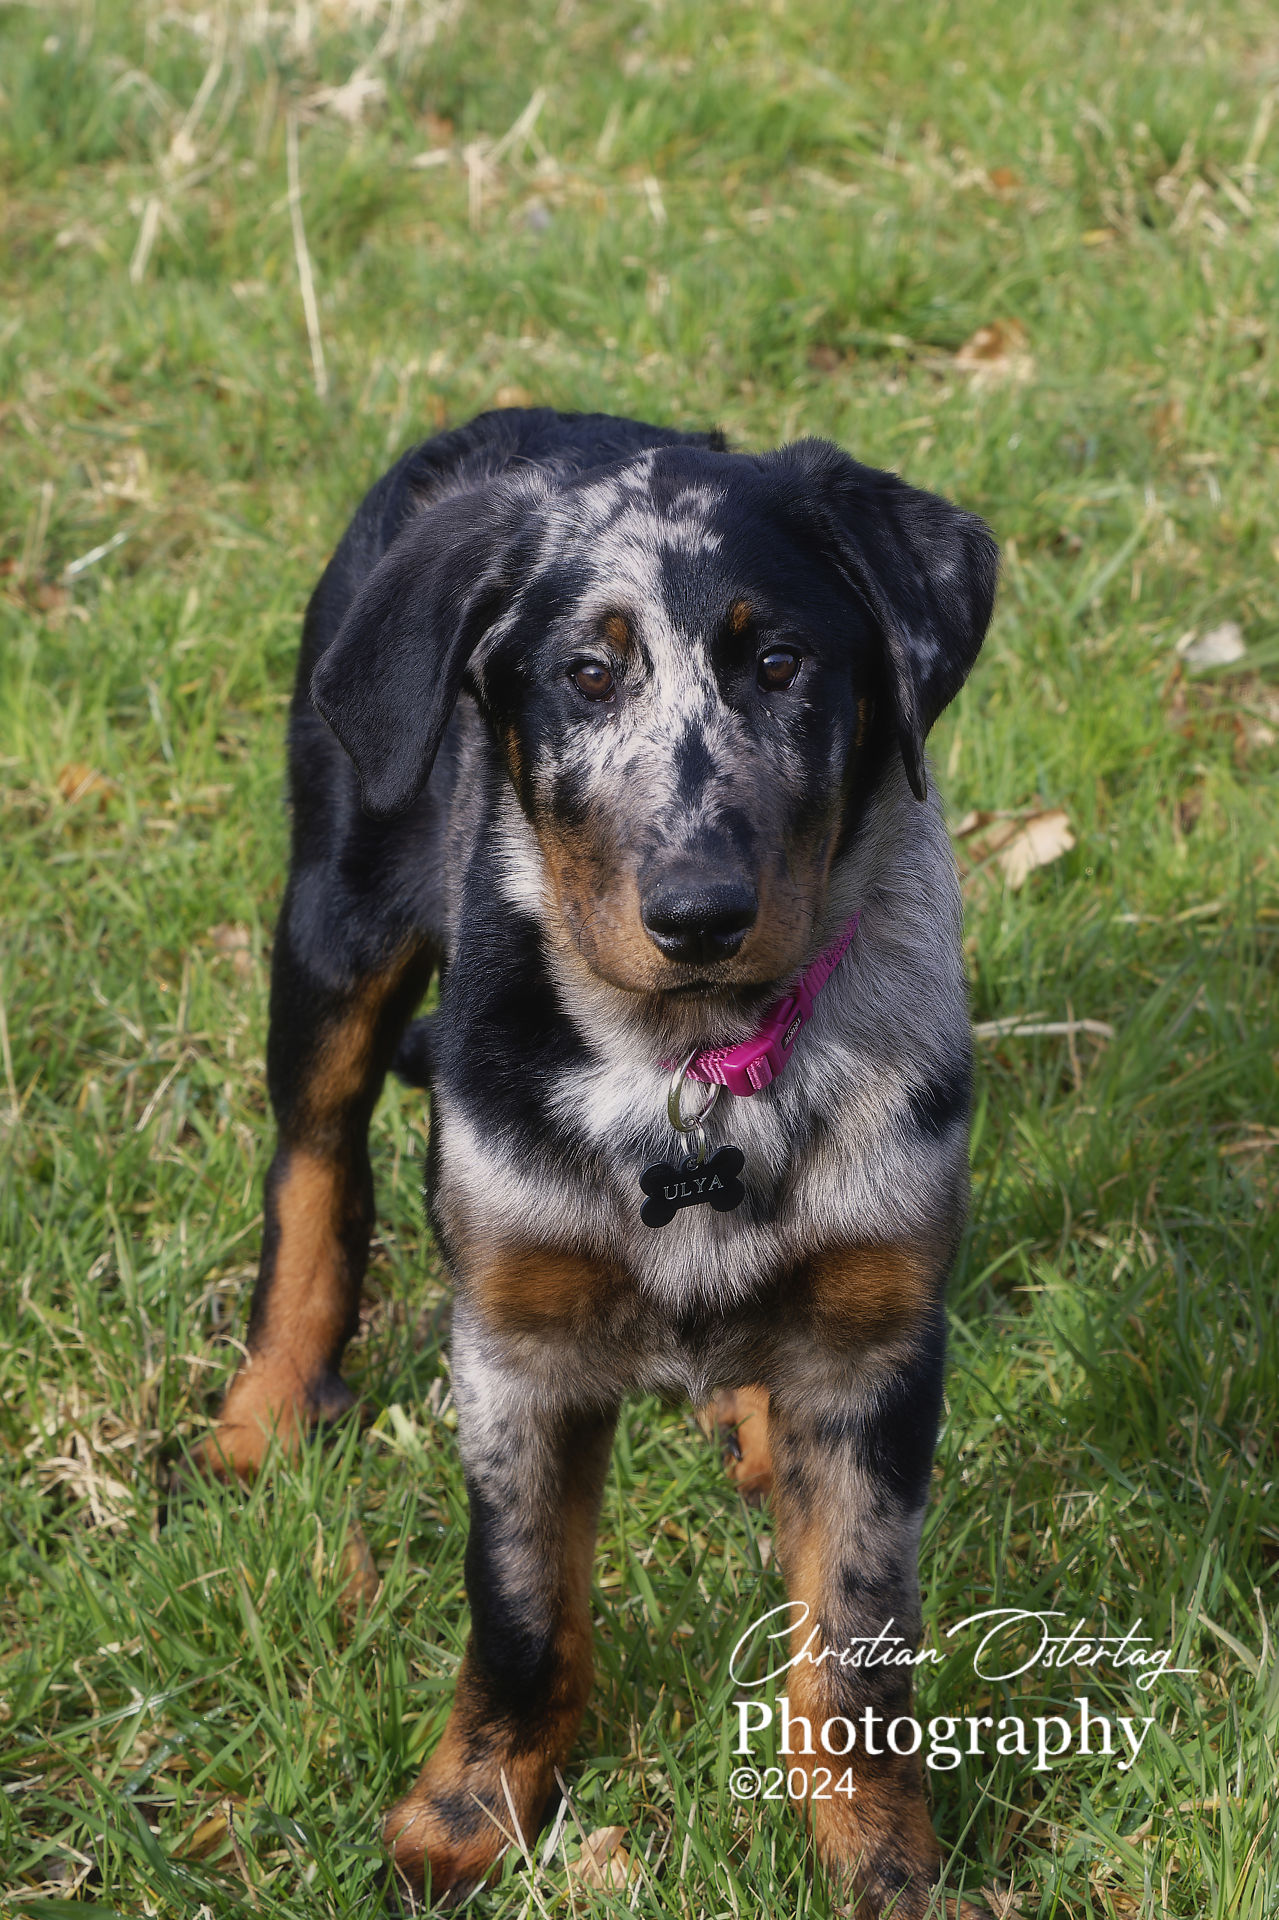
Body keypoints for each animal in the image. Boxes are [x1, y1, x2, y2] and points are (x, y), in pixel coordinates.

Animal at [203, 407, 997, 1915]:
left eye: (779, 662)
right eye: (584, 675)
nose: (699, 915)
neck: (689, 1062)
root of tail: (520, 417)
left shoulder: (879, 1341)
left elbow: (858, 1640)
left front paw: (882, 1863)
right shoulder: (511, 1340)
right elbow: (521, 1606)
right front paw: (467, 1814)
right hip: (334, 908)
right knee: (312, 1159)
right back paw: (266, 1407)